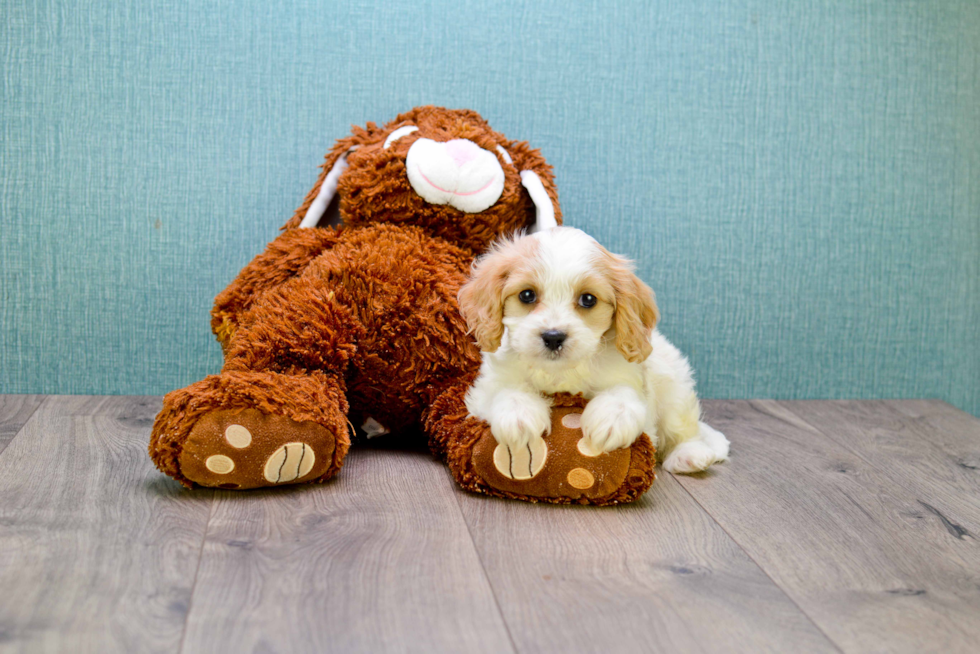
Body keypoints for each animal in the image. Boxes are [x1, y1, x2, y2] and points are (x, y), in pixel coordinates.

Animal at [460, 228, 728, 474]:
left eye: (588, 299)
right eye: (527, 295)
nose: (553, 337)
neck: (561, 372)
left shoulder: (630, 377)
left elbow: (623, 394)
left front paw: (612, 420)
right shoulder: (487, 387)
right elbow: (506, 390)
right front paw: (518, 417)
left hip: (676, 390)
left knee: (683, 430)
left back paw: (688, 455)